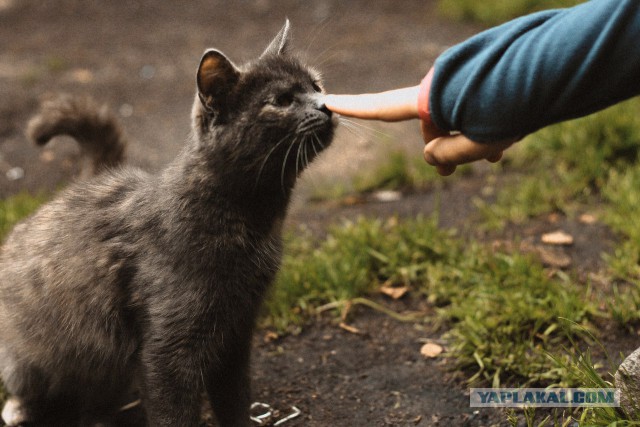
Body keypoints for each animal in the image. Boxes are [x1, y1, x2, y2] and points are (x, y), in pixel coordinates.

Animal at [0, 20, 332, 427]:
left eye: (316, 85)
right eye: (282, 100)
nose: (325, 105)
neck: (253, 224)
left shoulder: (236, 333)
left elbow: (235, 399)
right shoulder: (167, 348)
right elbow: (173, 412)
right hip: (30, 351)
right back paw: (20, 409)